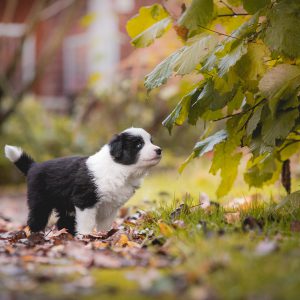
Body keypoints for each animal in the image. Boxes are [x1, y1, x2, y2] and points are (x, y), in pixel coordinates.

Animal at [4, 127, 162, 236]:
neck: (119, 168)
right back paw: (37, 236)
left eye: (151, 142)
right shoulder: (85, 201)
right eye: (138, 145)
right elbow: (87, 224)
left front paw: (104, 237)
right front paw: (85, 238)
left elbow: (105, 225)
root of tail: (34, 166)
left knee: (63, 221)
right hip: (40, 201)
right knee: (36, 219)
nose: (159, 150)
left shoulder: (111, 207)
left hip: (64, 205)